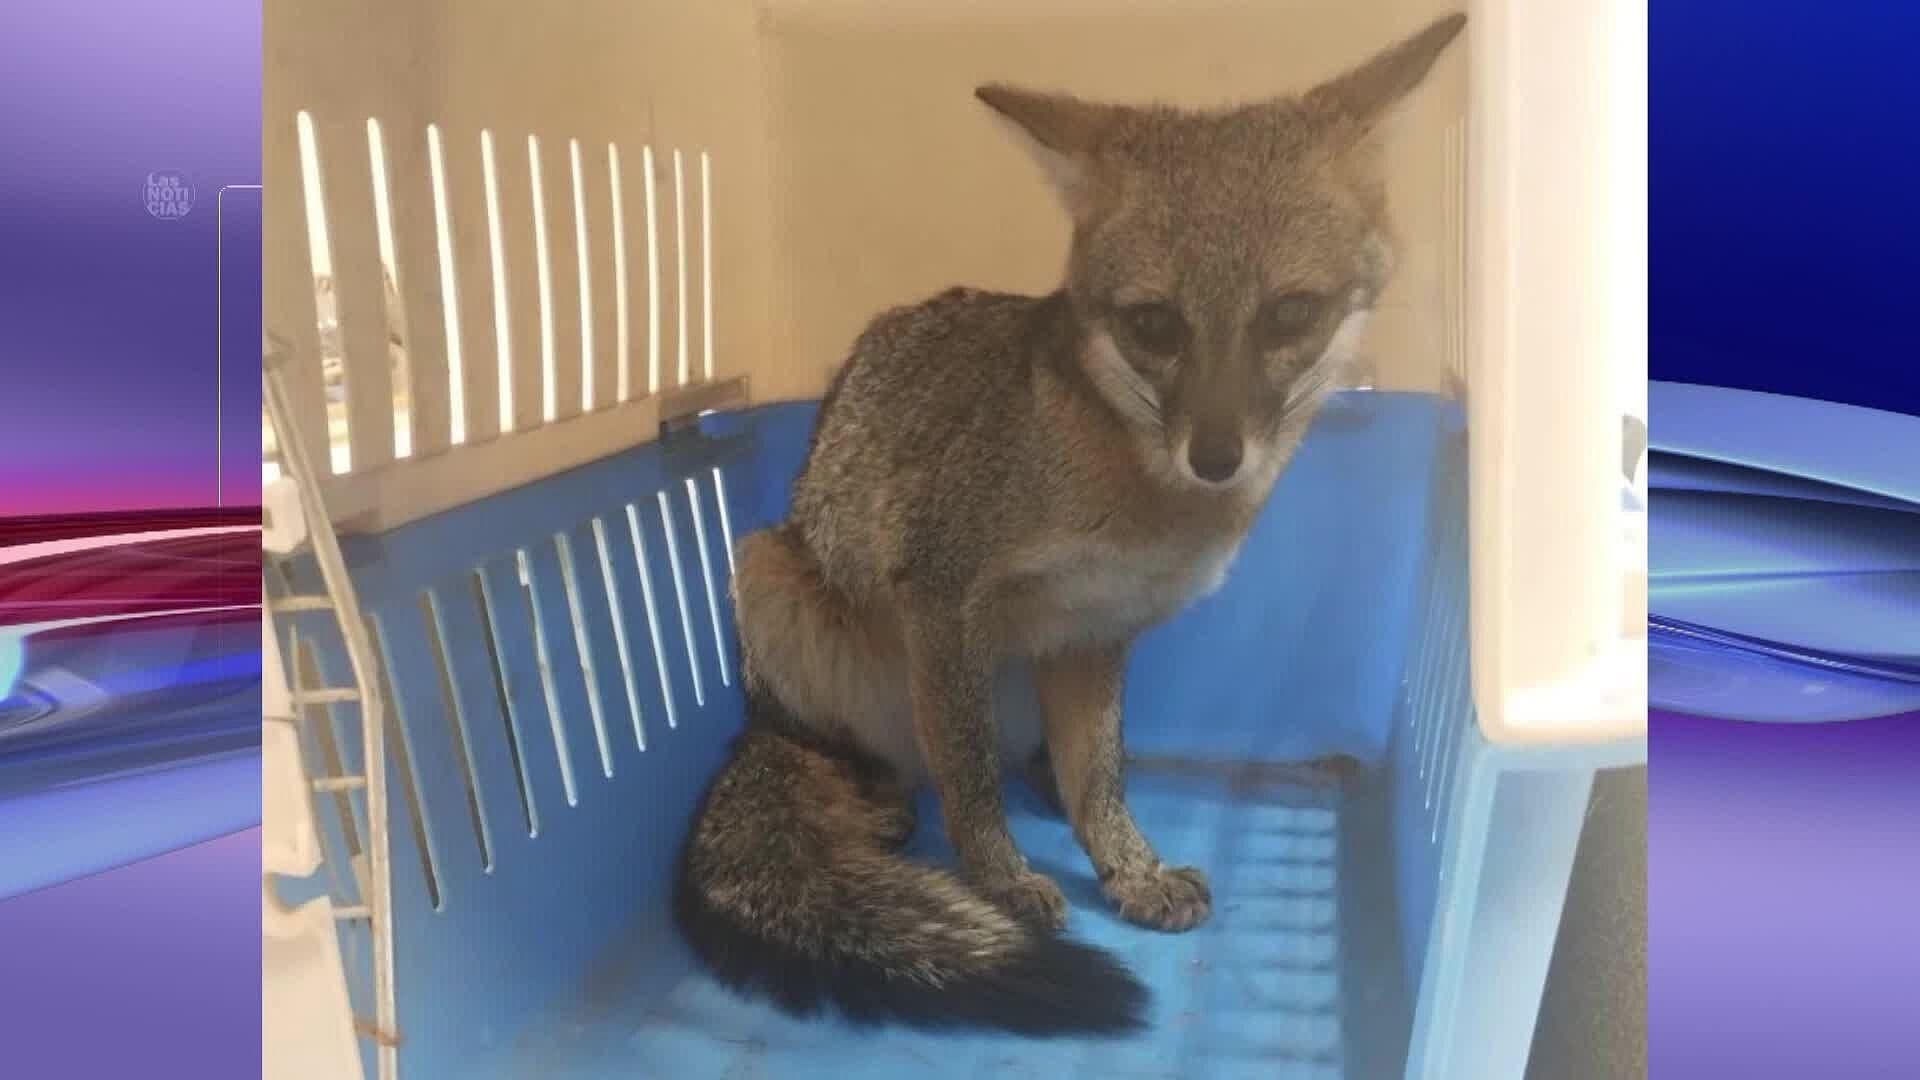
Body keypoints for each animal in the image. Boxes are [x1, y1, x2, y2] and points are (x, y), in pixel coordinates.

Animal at [675, 13, 1466, 1035]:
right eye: (1155, 325)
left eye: (1291, 313)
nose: (1217, 457)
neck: (1141, 514)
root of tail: (756, 727)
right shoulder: (941, 598)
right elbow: (970, 775)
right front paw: (1001, 882)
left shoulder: (1095, 634)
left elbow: (1103, 776)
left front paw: (1129, 868)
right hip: (772, 577)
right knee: (878, 756)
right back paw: (876, 793)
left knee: (1040, 758)